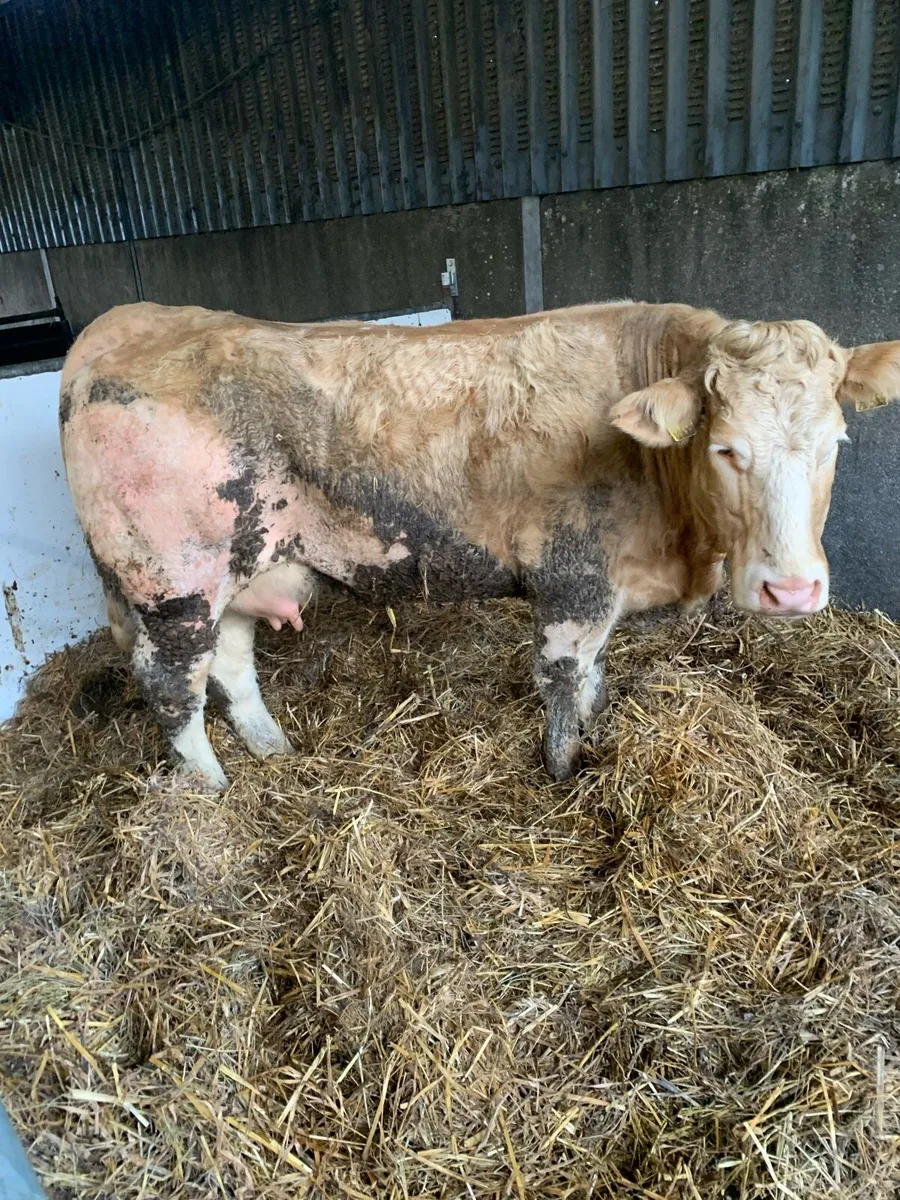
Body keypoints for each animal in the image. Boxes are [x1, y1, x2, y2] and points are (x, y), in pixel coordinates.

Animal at [59, 300, 900, 790]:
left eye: (835, 442)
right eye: (726, 448)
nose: (791, 591)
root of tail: (120, 324)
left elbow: (594, 680)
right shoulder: (574, 581)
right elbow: (563, 680)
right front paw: (564, 770)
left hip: (242, 567)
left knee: (231, 664)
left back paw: (273, 752)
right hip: (172, 581)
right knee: (172, 685)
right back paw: (214, 789)